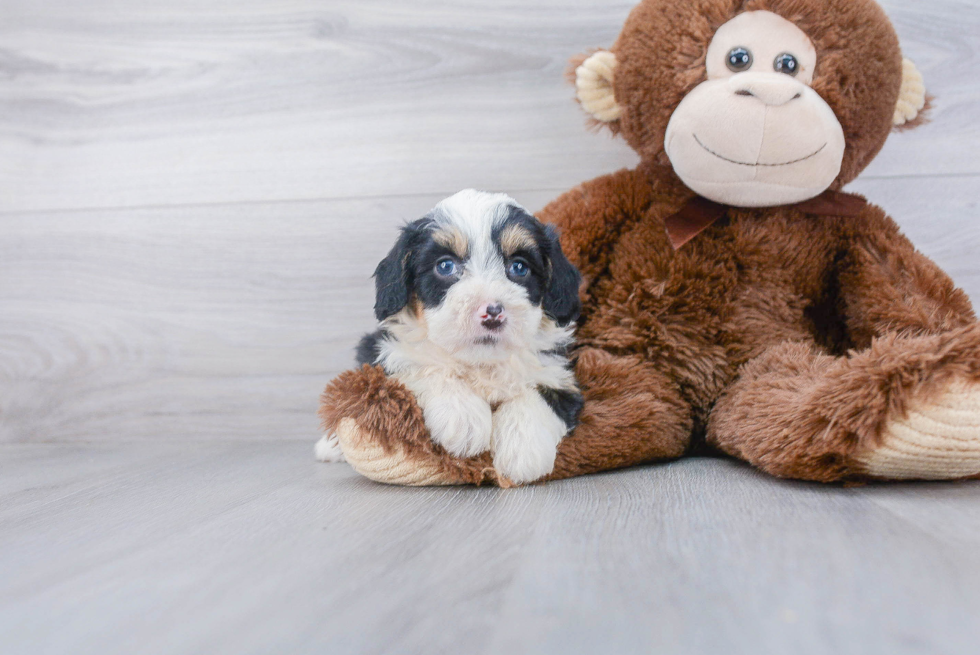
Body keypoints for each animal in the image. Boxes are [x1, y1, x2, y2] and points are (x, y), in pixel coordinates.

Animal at [318, 187, 584, 484]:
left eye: (519, 267)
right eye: (445, 266)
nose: (492, 312)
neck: (480, 363)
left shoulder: (558, 374)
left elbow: (538, 396)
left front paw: (524, 450)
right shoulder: (388, 355)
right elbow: (427, 367)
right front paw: (463, 419)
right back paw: (330, 447)